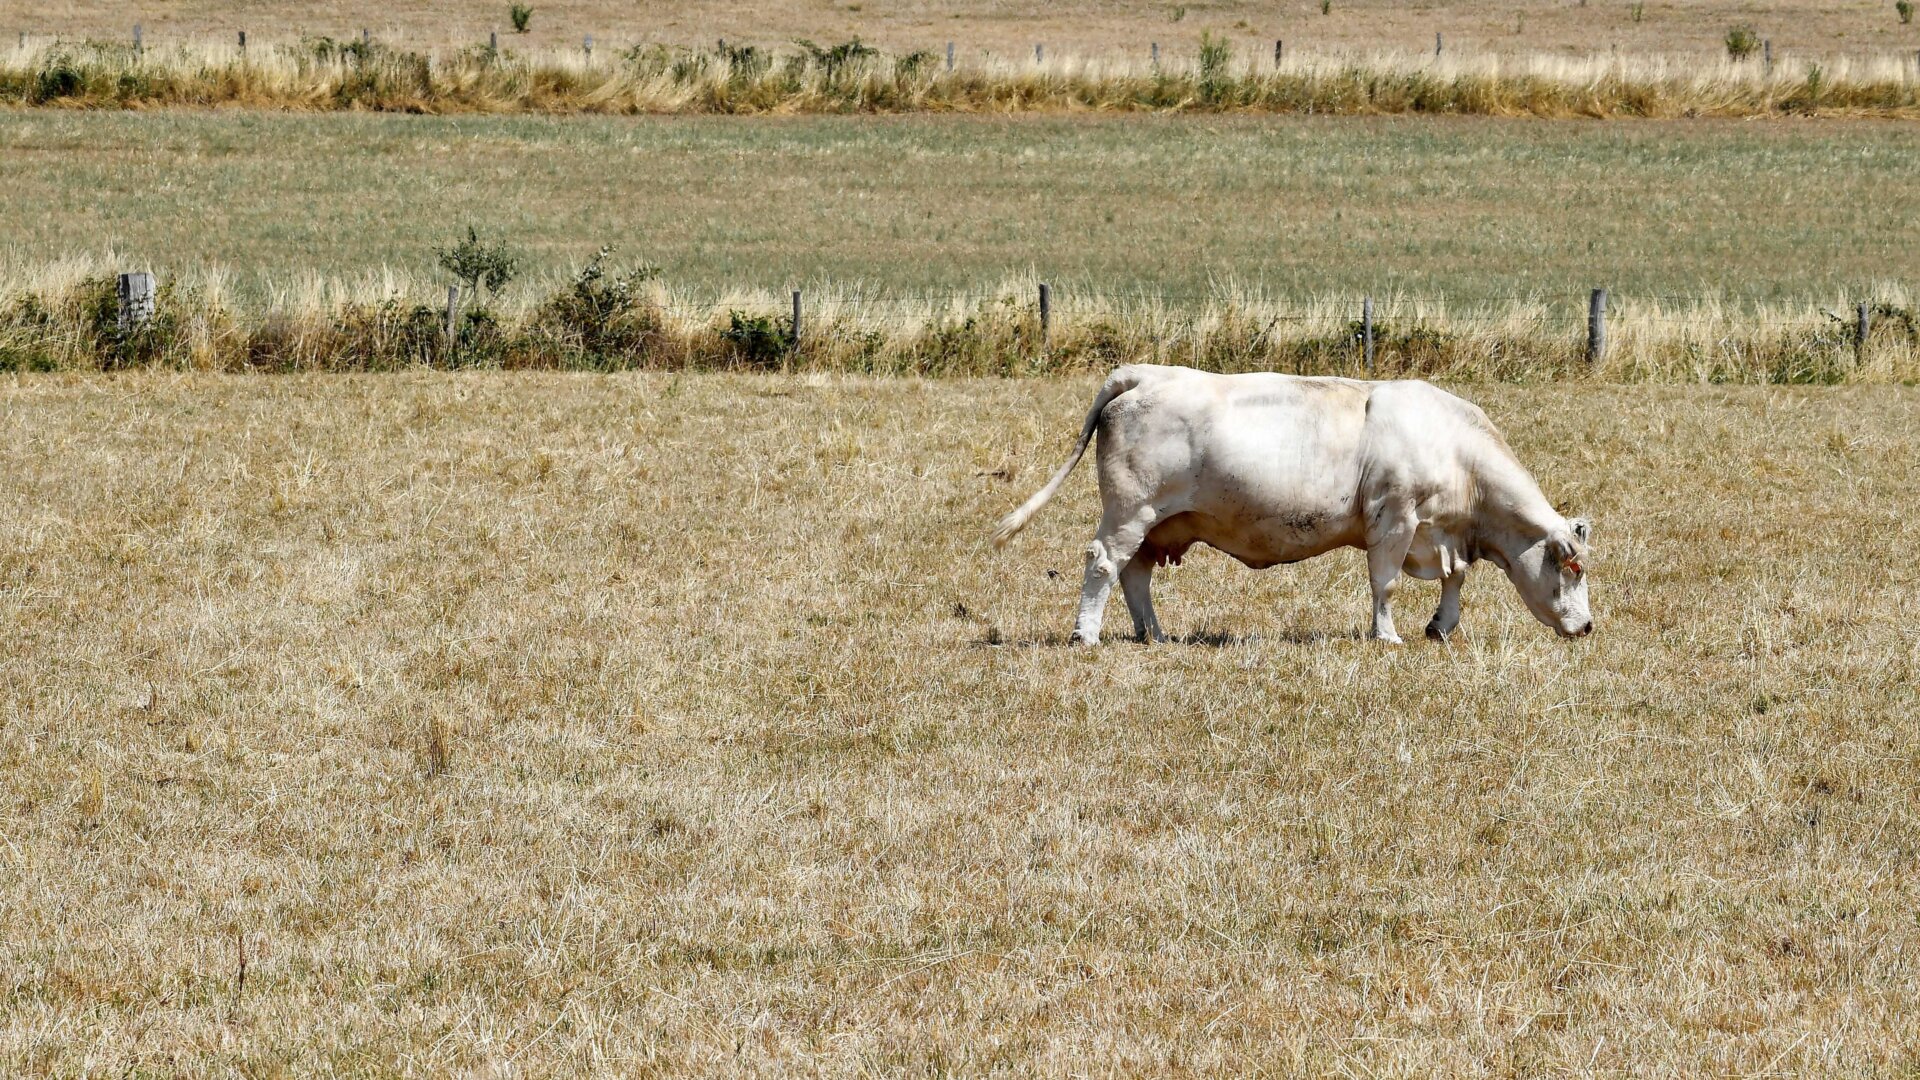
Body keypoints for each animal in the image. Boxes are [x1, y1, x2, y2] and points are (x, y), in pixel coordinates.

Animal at [992, 364, 1593, 645]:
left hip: (1152, 524)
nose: (1587, 626)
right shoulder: (1395, 519)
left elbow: (1455, 578)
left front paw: (1440, 626)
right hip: (1128, 512)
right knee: (1102, 563)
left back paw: (1154, 634)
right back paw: (1086, 633)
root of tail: (1144, 373)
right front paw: (1388, 635)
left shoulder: (1439, 531)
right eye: (1573, 569)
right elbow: (1386, 584)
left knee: (1134, 574)